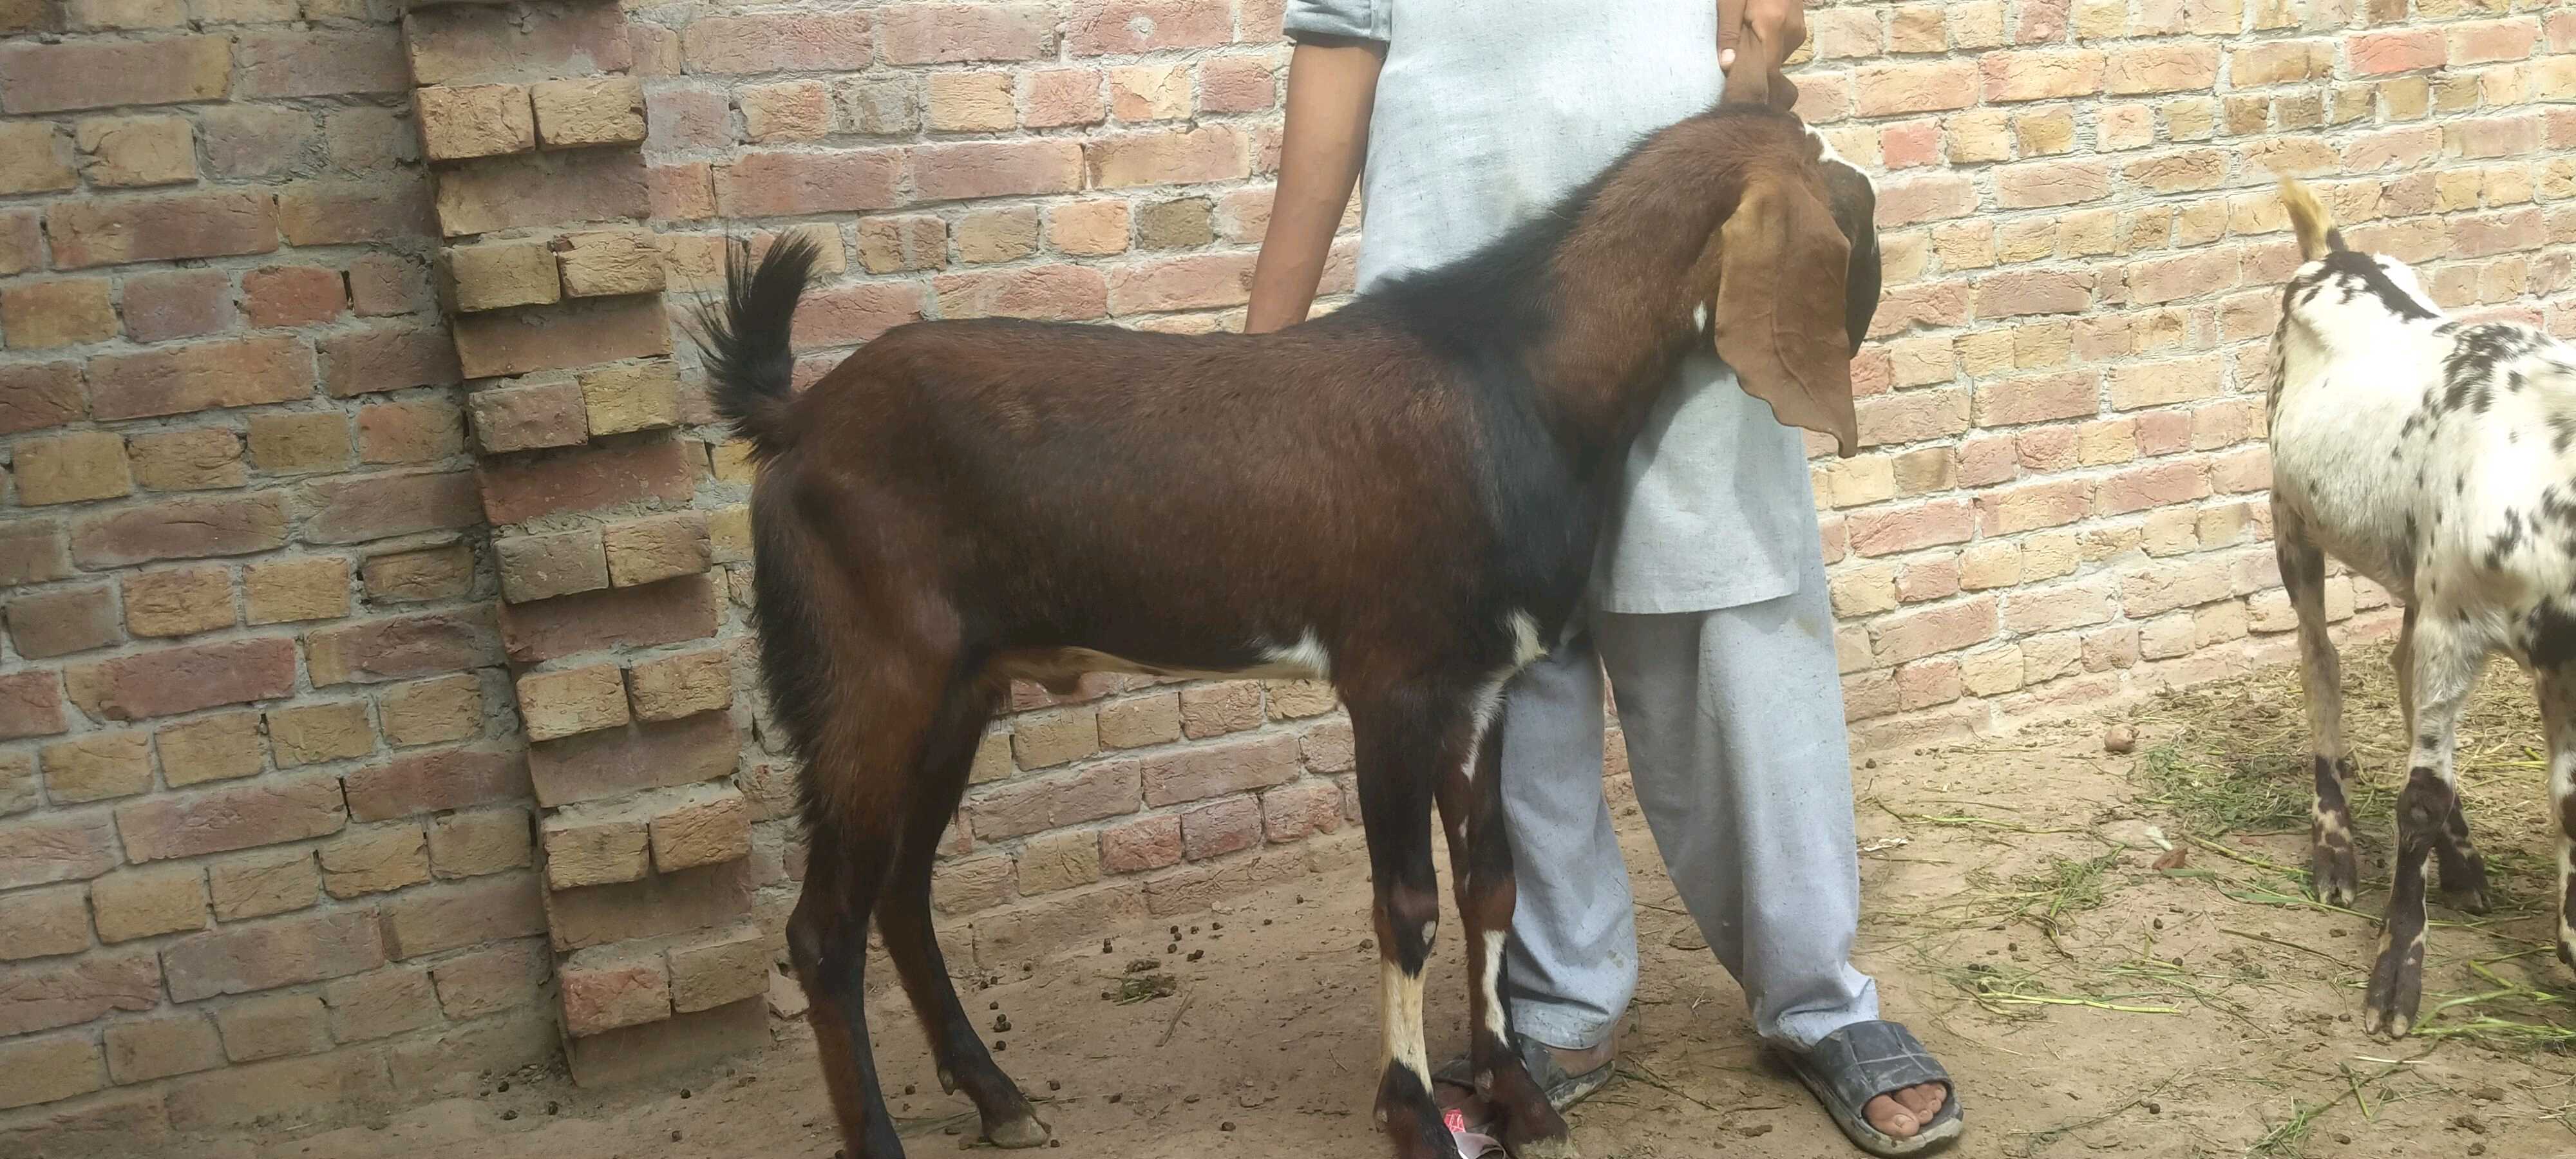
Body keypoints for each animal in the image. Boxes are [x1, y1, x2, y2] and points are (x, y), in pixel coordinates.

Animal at [701, 85, 1878, 1159]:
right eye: (1844, 199)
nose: (1876, 236)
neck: (1516, 384)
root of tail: (797, 420)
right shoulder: (1391, 686)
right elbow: (1407, 903)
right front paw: (1416, 1116)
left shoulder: (1482, 687)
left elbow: (1493, 883)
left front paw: (1519, 1102)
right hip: (871, 676)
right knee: (823, 928)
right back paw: (886, 1132)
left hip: (959, 687)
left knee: (900, 893)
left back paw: (998, 1097)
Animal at [2270, 179, 2576, 1038]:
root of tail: (2333, 252)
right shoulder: (2454, 624)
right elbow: (2418, 800)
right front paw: (2391, 983)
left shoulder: (2558, 659)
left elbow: (2568, 802)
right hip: (2291, 520)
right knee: (2320, 662)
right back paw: (2334, 850)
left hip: (2414, 574)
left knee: (2401, 668)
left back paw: (2464, 865)